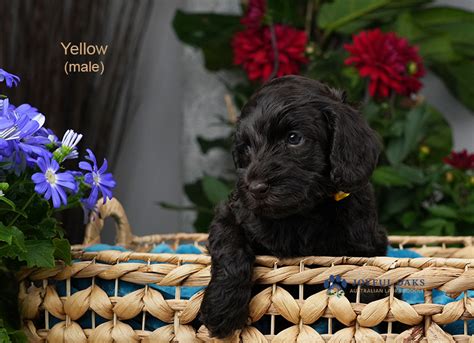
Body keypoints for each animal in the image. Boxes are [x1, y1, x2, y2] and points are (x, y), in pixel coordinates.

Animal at [200, 76, 388, 338]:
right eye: (246, 148)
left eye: (293, 138)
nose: (255, 188)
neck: (302, 214)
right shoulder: (233, 211)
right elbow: (229, 245)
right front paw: (222, 307)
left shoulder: (365, 243)